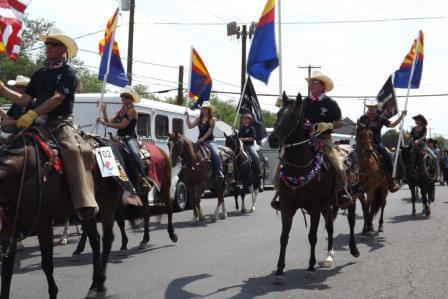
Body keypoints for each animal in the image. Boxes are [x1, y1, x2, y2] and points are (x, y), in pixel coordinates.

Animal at [0, 129, 121, 299]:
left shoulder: (43, 225)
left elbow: (47, 264)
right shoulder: (9, 226)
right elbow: (6, 271)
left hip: (107, 203)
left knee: (107, 239)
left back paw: (101, 284)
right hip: (87, 209)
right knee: (96, 241)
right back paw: (93, 284)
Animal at [266, 95, 360, 280]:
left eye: (293, 117)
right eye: (278, 114)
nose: (273, 140)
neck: (300, 168)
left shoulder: (315, 207)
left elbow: (312, 236)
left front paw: (310, 267)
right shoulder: (287, 206)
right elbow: (284, 237)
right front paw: (280, 269)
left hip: (350, 200)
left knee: (351, 222)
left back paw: (354, 249)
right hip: (329, 206)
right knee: (330, 227)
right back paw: (329, 256)